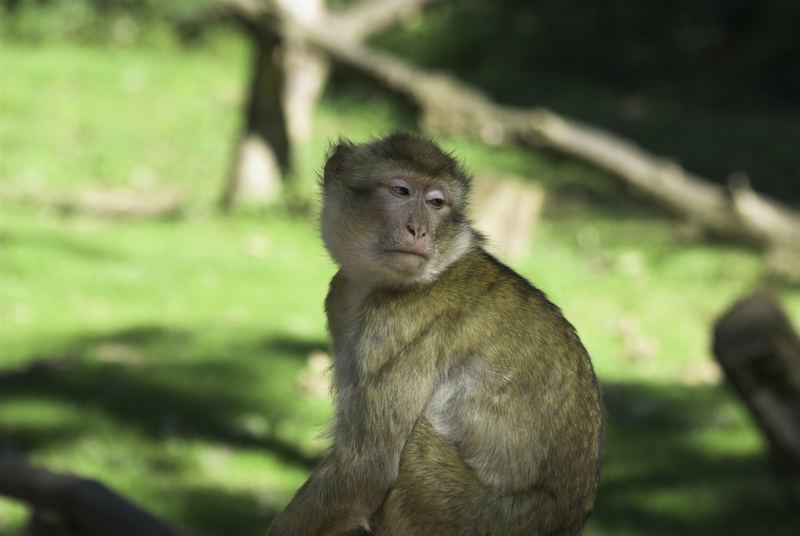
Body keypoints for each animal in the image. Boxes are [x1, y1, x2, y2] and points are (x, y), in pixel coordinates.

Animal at [266, 131, 604, 536]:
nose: (419, 229)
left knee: (417, 443)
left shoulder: (395, 322)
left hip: (462, 514)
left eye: (436, 203)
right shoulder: (341, 295)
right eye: (401, 191)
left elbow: (365, 470)